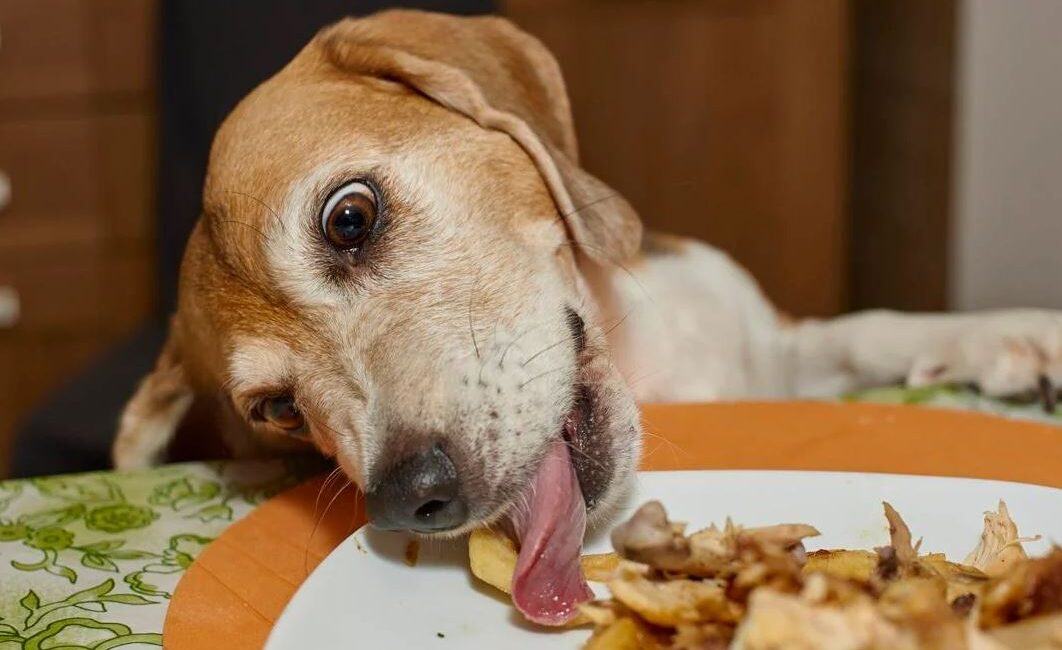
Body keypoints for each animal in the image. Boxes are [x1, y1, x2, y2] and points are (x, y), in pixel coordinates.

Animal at [109, 7, 1062, 624]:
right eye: (276, 409)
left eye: (350, 217)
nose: (410, 501)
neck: (646, 363)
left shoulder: (769, 343)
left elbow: (873, 329)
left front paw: (1015, 336)